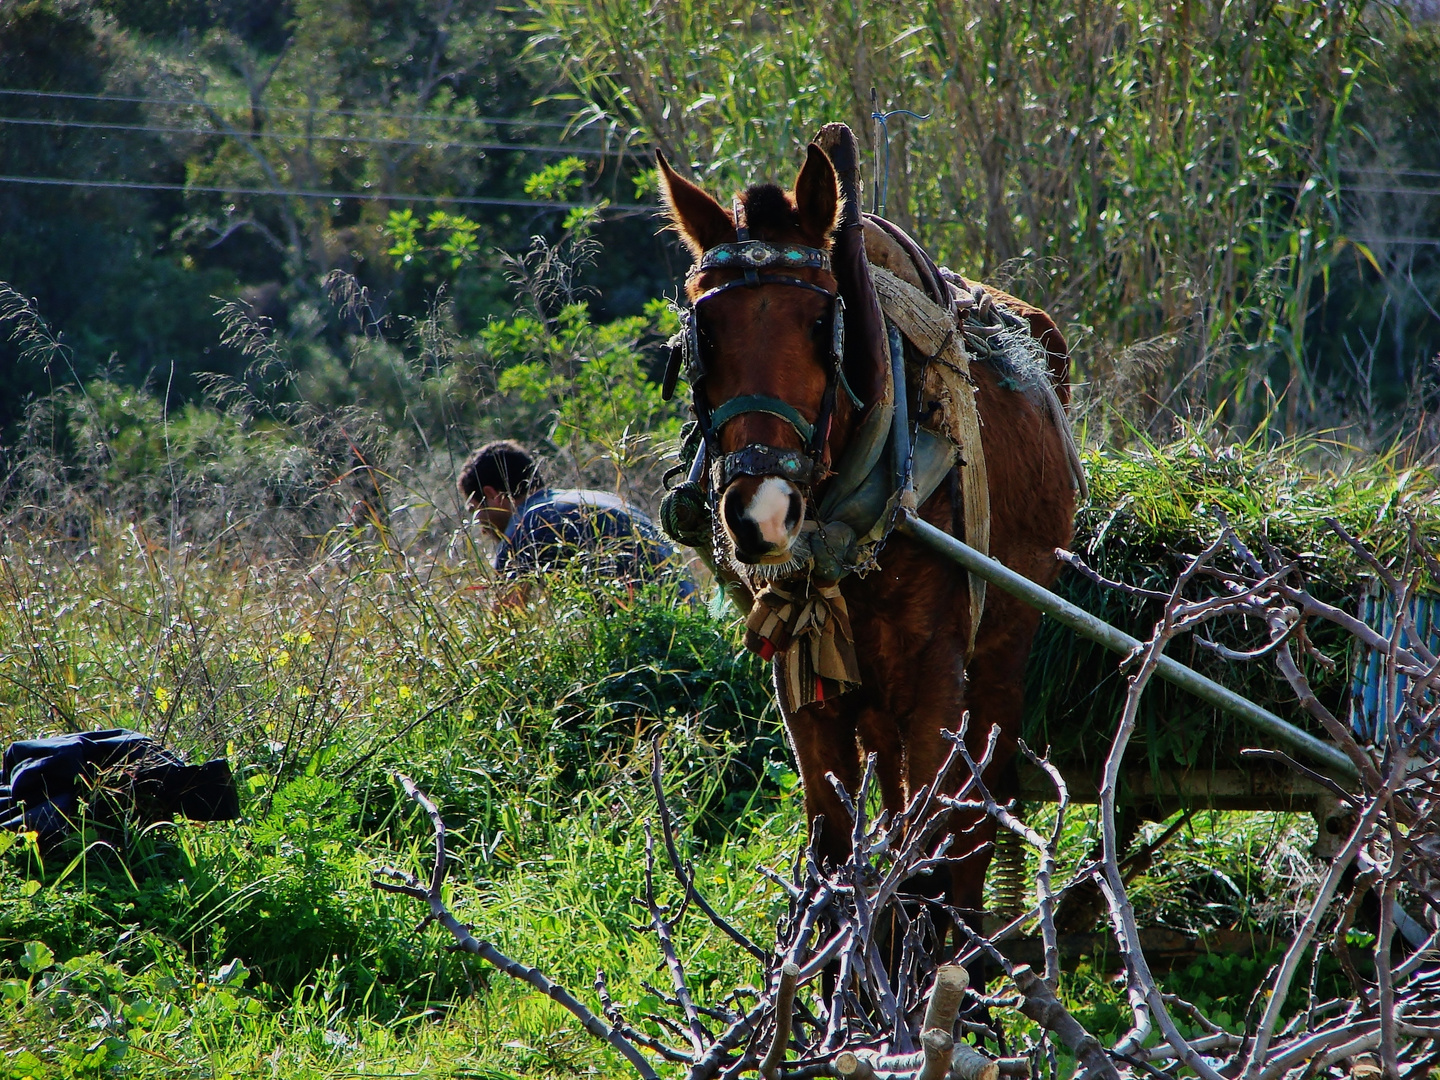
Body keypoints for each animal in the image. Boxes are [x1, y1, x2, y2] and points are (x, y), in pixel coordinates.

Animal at [659, 135, 1077, 933]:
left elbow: (931, 858)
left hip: (1004, 647)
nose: (759, 513)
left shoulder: (937, 676)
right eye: (702, 334)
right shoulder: (802, 682)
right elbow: (832, 853)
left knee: (973, 823)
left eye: (823, 326)